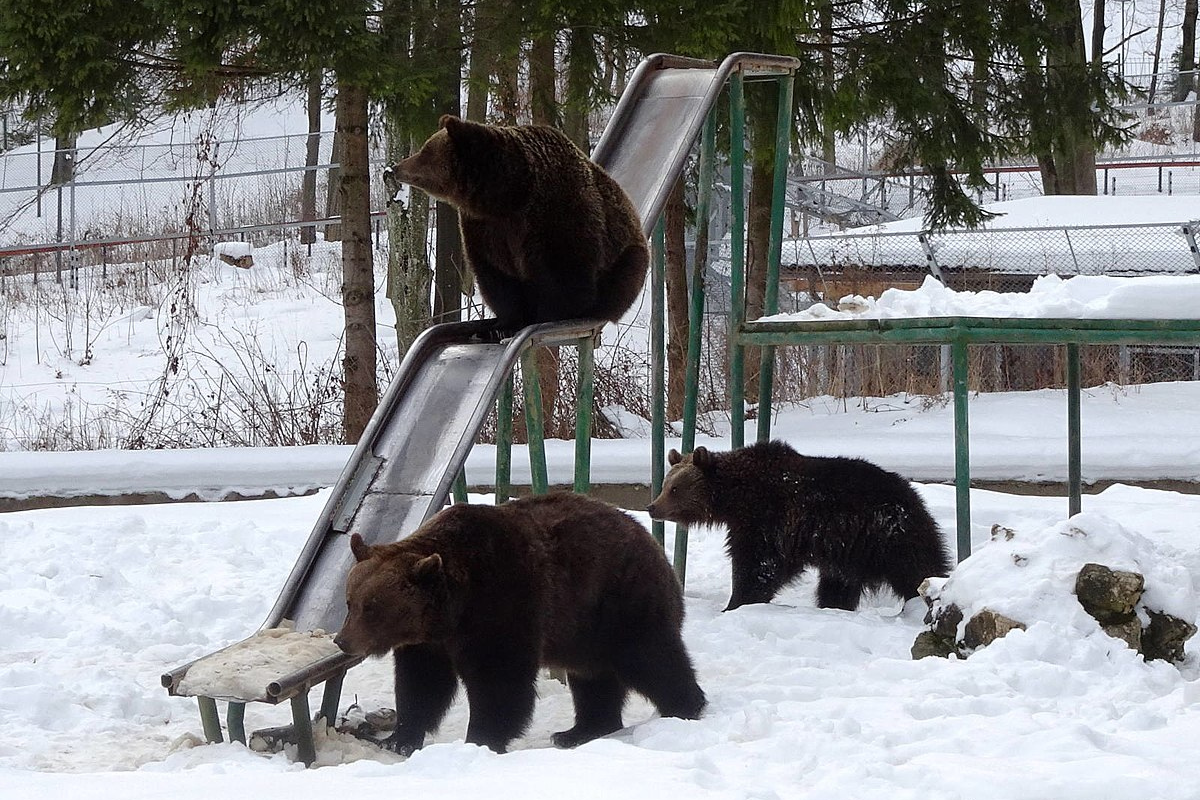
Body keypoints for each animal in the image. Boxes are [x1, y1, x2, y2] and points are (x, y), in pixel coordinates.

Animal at [333, 491, 700, 753]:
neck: (452, 610)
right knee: (593, 677)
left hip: (620, 600)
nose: (342, 640)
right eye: (350, 601)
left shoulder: (503, 603)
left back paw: (684, 709)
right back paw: (578, 730)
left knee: (650, 658)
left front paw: (480, 738)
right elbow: (421, 684)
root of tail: (651, 542)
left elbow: (499, 680)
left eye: (373, 607)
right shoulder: (428, 642)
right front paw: (398, 739)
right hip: (583, 630)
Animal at [384, 113, 648, 331]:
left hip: (627, 257)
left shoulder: (555, 215)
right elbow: (497, 277)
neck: (508, 195)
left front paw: (546, 316)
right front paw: (503, 324)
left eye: (425, 150)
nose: (394, 167)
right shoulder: (485, 227)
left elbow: (565, 272)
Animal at [648, 443, 945, 614]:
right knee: (837, 584)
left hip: (891, 537)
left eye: (675, 489)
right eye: (665, 484)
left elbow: (759, 565)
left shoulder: (769, 519)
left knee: (917, 569)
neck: (736, 497)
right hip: (850, 552)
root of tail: (913, 496)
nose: (652, 507)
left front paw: (736, 602)